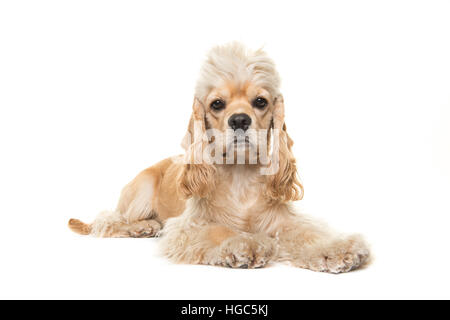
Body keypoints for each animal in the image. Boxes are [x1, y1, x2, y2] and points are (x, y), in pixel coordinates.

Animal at [67, 42, 370, 272]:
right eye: (217, 104)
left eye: (260, 101)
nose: (240, 120)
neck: (240, 175)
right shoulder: (187, 227)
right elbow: (218, 231)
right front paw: (245, 244)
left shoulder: (281, 221)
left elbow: (309, 233)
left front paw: (338, 249)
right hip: (141, 191)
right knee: (108, 220)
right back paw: (141, 227)